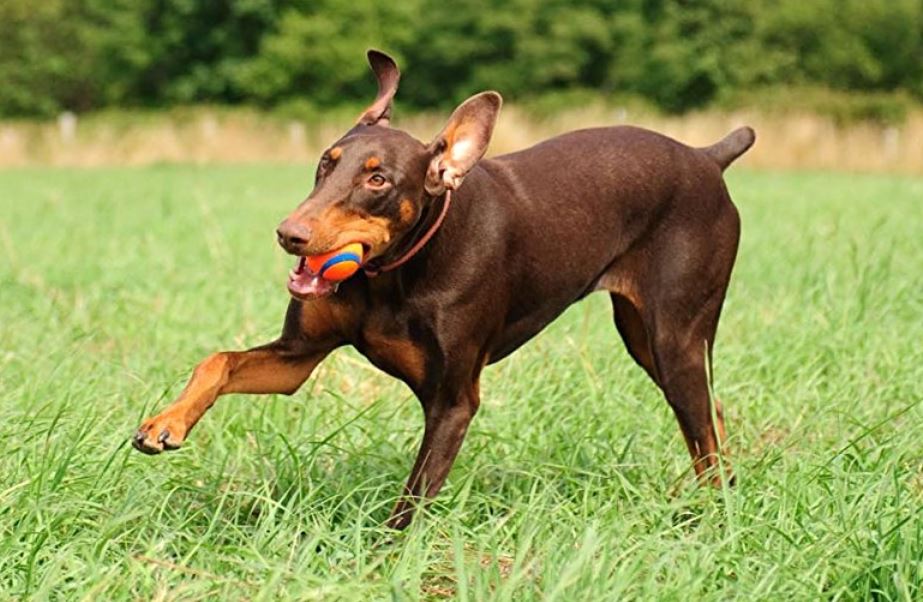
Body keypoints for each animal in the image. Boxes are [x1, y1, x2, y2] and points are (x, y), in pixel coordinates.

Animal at [137, 49, 756, 528]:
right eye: (325, 163)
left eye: (378, 179)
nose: (290, 234)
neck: (392, 276)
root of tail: (705, 157)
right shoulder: (298, 356)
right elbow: (218, 361)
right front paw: (166, 423)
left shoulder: (453, 400)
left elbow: (411, 500)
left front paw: (382, 564)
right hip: (647, 340)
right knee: (711, 417)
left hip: (674, 337)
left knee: (702, 425)